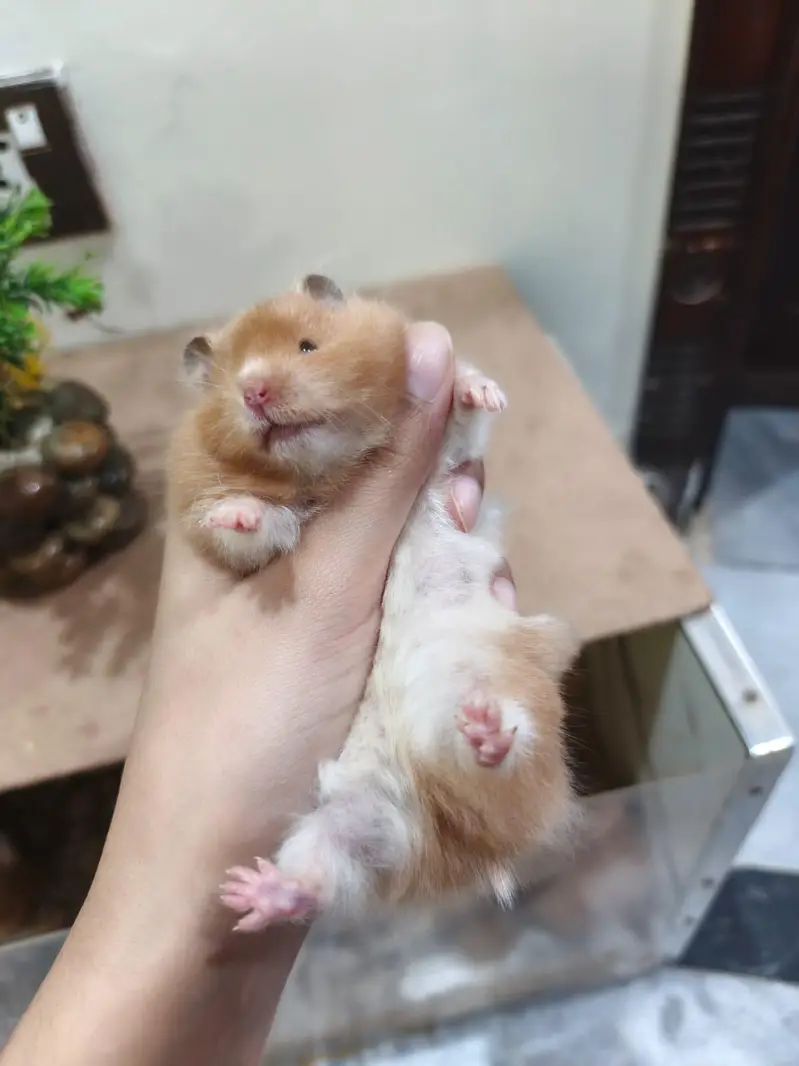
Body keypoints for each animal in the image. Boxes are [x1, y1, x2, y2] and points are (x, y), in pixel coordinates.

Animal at [168, 275, 580, 930]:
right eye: (232, 379)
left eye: (308, 346)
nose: (255, 391)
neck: (332, 468)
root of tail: (456, 840)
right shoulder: (244, 552)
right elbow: (251, 527)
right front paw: (236, 512)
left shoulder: (449, 458)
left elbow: (464, 418)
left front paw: (482, 390)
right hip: (354, 828)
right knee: (322, 879)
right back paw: (253, 896)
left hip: (508, 696)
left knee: (510, 751)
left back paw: (486, 729)